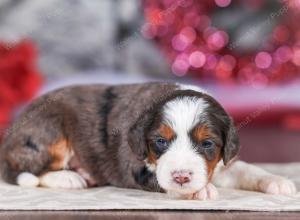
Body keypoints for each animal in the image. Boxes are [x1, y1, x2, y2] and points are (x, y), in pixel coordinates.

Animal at [0, 82, 296, 199]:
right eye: (160, 142)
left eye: (207, 144)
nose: (181, 177)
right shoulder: (135, 166)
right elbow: (160, 178)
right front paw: (198, 191)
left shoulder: (220, 165)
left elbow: (246, 168)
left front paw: (279, 181)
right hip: (51, 129)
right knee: (26, 170)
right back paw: (69, 178)